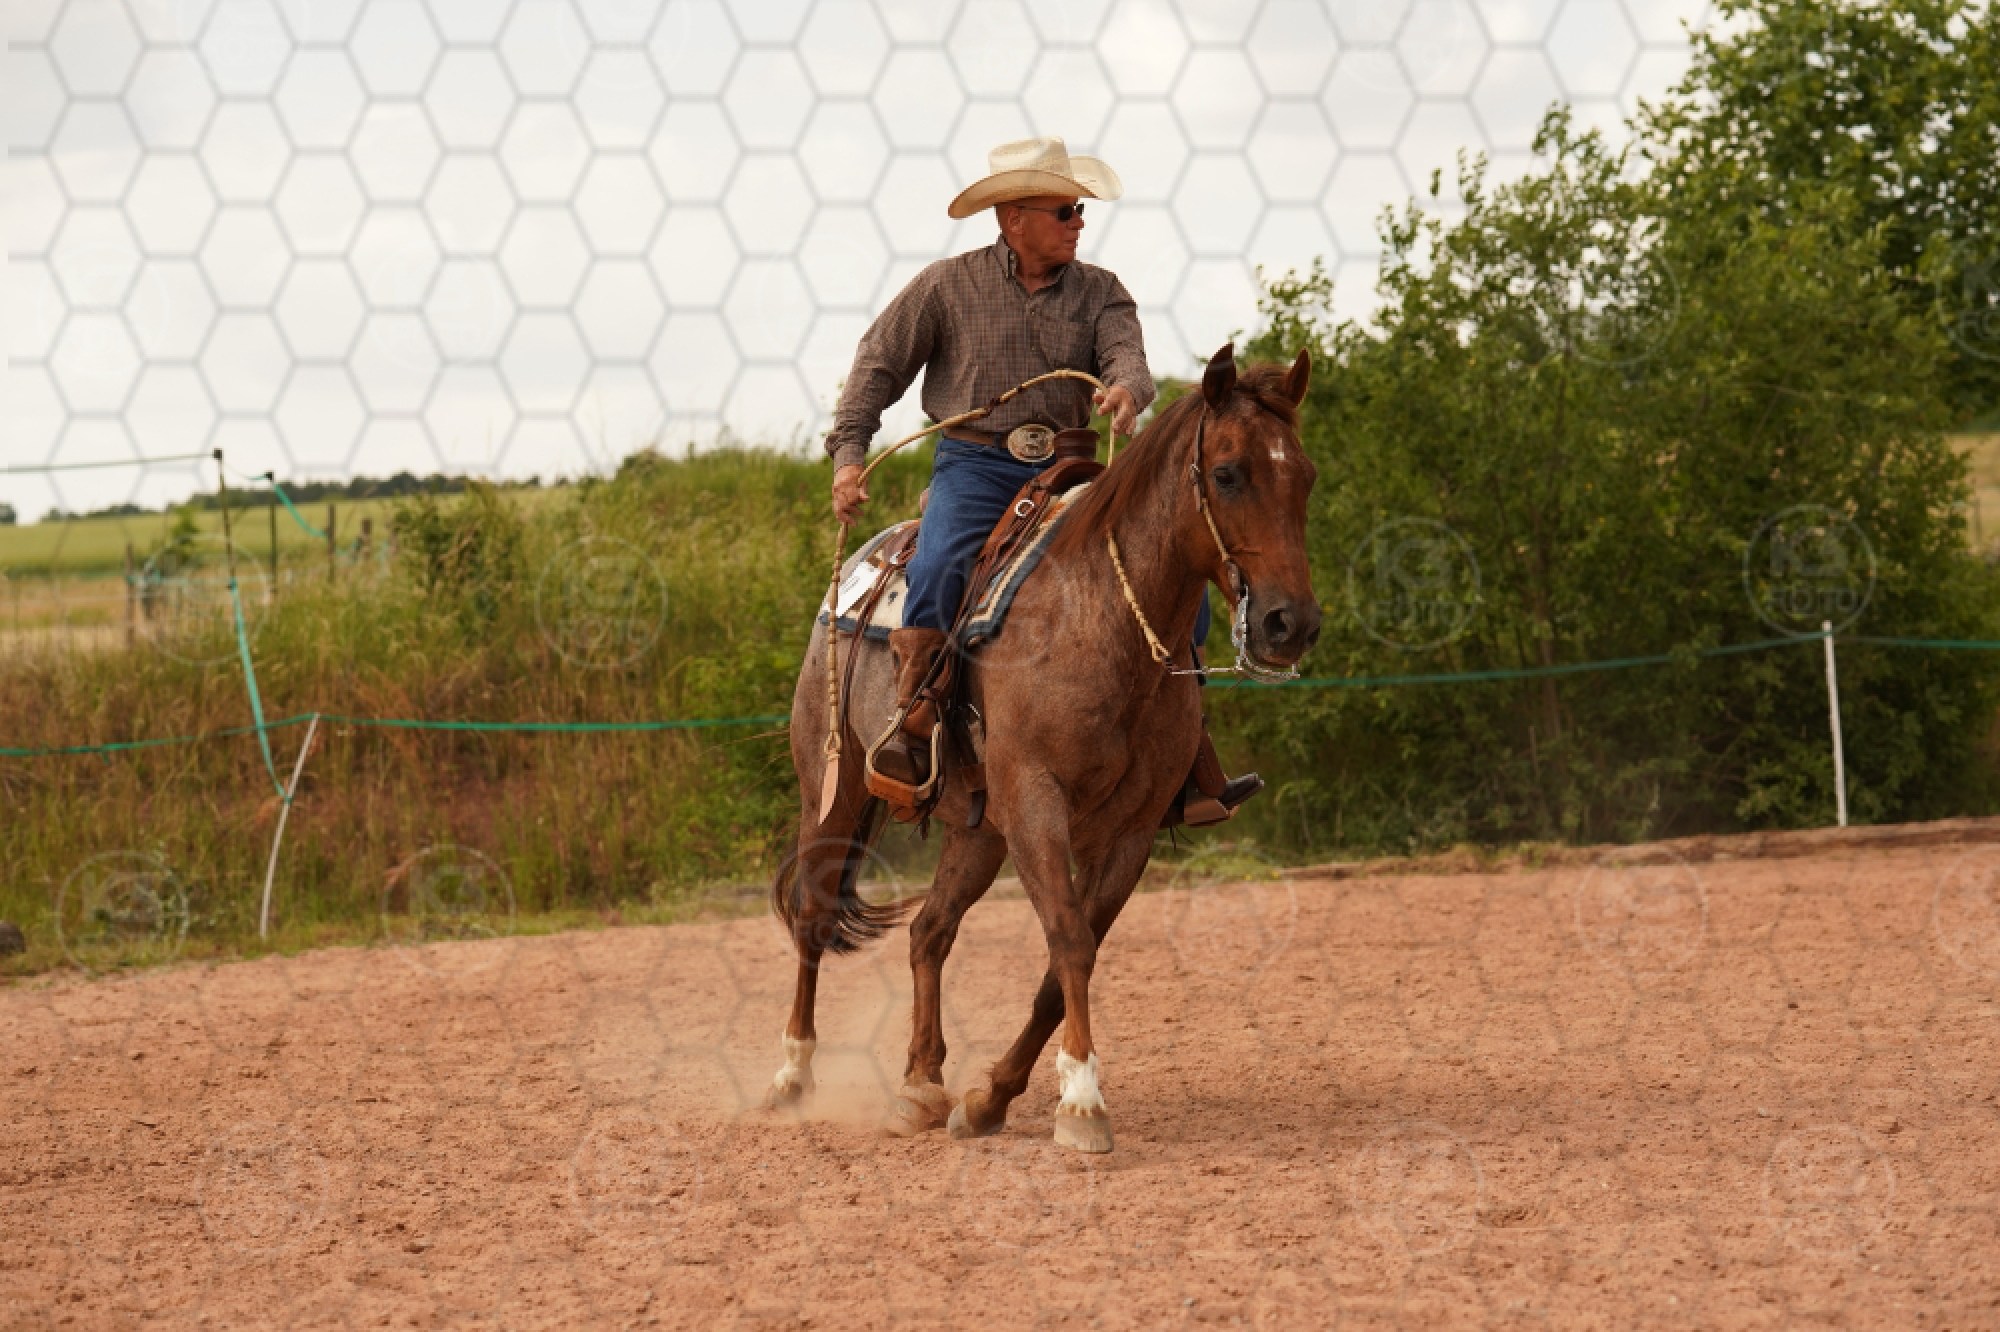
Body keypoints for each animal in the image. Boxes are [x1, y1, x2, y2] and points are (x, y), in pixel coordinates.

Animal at [767, 343, 1320, 1152]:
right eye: (1227, 473)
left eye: (1303, 475)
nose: (1291, 624)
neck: (1101, 619)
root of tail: (854, 570)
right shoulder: (1036, 803)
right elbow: (1068, 939)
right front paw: (1083, 1101)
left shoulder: (1129, 832)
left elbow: (1063, 967)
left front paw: (990, 1098)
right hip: (833, 791)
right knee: (812, 916)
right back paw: (791, 1076)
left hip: (979, 829)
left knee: (929, 932)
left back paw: (920, 1084)